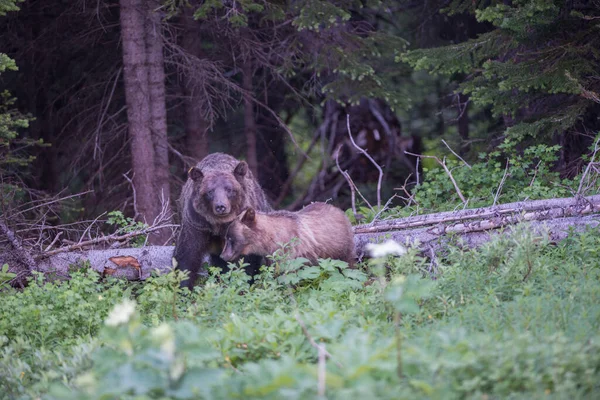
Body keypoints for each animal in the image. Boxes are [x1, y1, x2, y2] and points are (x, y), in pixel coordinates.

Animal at [175, 152, 270, 288]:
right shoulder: (196, 224)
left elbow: (247, 259)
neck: (219, 225)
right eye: (210, 191)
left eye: (229, 189)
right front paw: (183, 286)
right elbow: (187, 255)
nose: (221, 206)